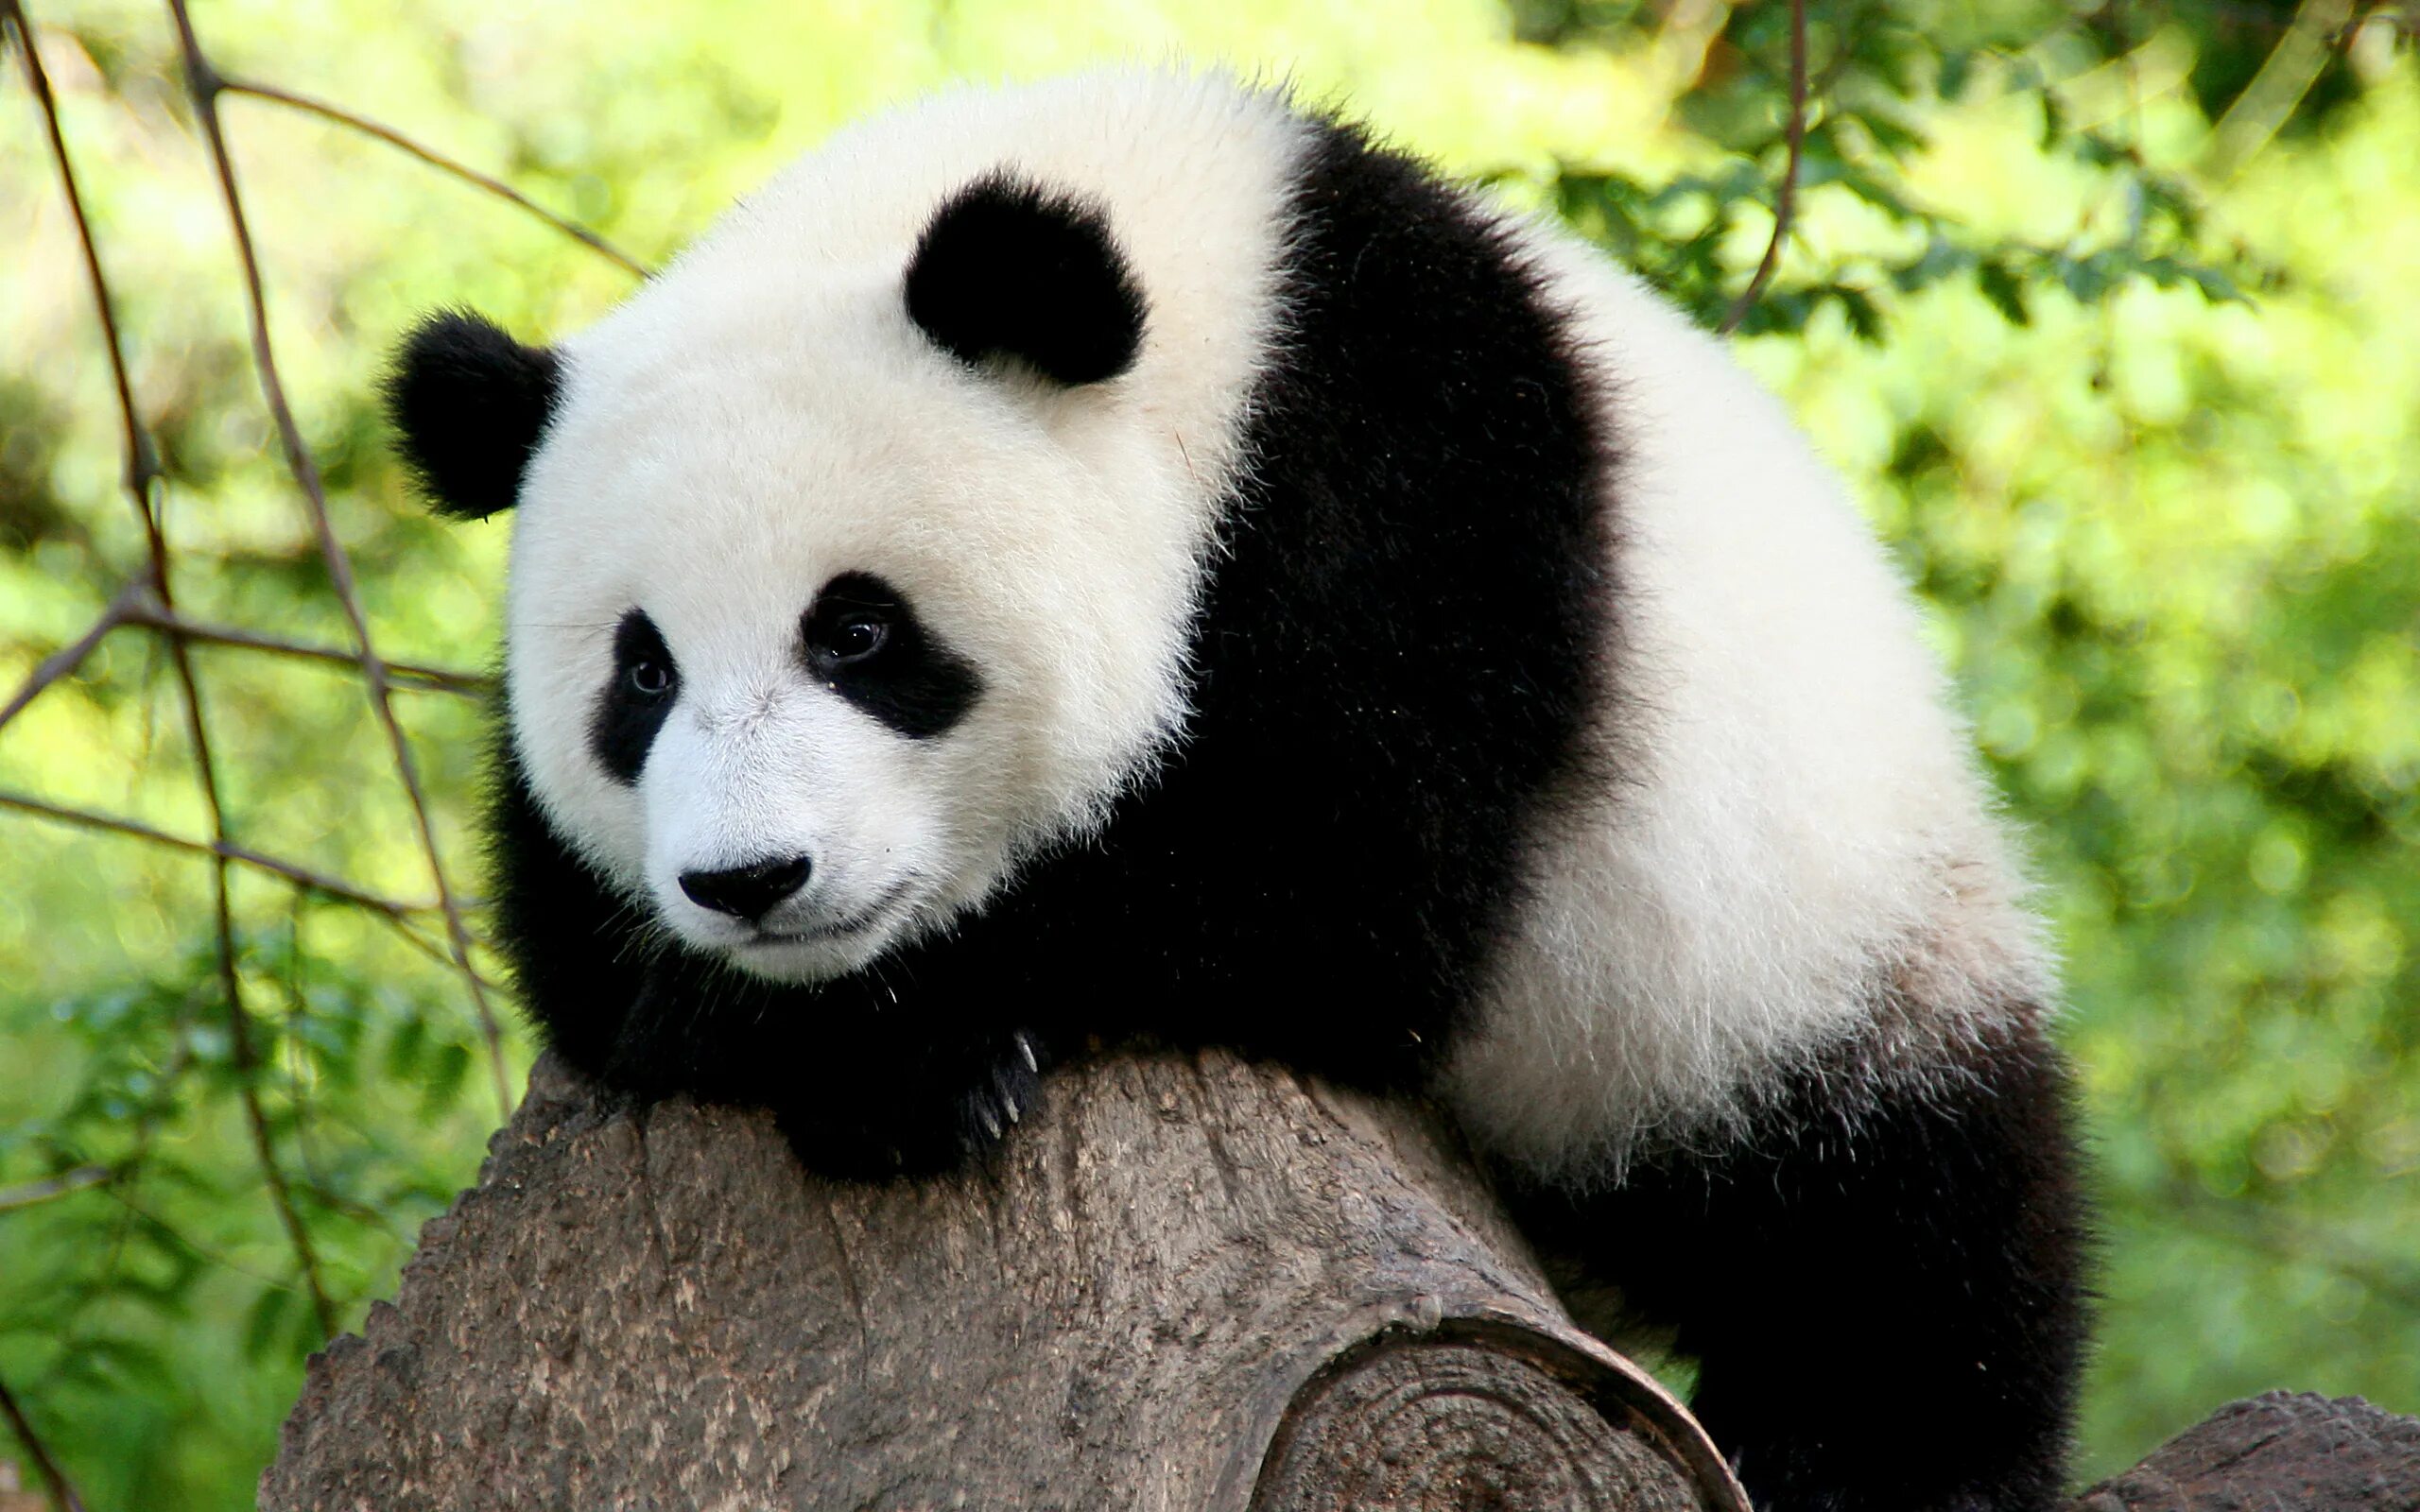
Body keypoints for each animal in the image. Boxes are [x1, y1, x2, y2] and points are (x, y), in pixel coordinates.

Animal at [387, 70, 2088, 1512]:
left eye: (858, 631)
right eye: (641, 675)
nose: (751, 882)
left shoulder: (1423, 489)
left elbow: (1342, 878)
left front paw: (915, 1048)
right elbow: (577, 952)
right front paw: (791, 1026)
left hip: (1810, 942)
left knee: (1900, 1240)